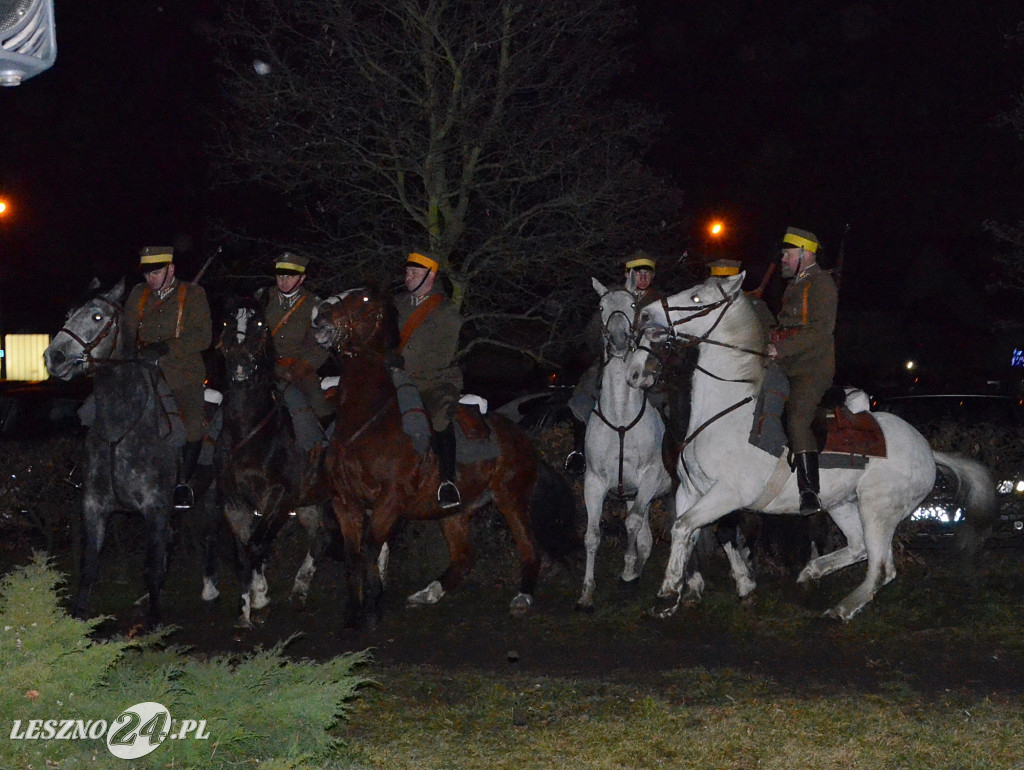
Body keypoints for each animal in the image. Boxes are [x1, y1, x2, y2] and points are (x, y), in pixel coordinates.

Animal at [313, 286, 585, 626]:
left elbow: (371, 548)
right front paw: (353, 614)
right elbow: (353, 556)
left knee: (529, 549)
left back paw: (522, 598)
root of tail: (523, 440)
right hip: (455, 513)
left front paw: (373, 610)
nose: (320, 313)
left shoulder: (389, 501)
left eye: (363, 300)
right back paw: (428, 593)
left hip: (511, 500)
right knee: (464, 557)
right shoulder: (345, 503)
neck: (366, 420)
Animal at [626, 274, 995, 622]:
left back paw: (840, 610)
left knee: (880, 568)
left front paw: (671, 595)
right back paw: (810, 573)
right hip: (843, 504)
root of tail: (928, 451)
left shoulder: (728, 494)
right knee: (858, 547)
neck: (726, 411)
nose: (645, 314)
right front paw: (676, 592)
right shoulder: (690, 490)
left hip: (879, 510)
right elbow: (686, 533)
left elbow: (688, 528)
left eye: (696, 298)